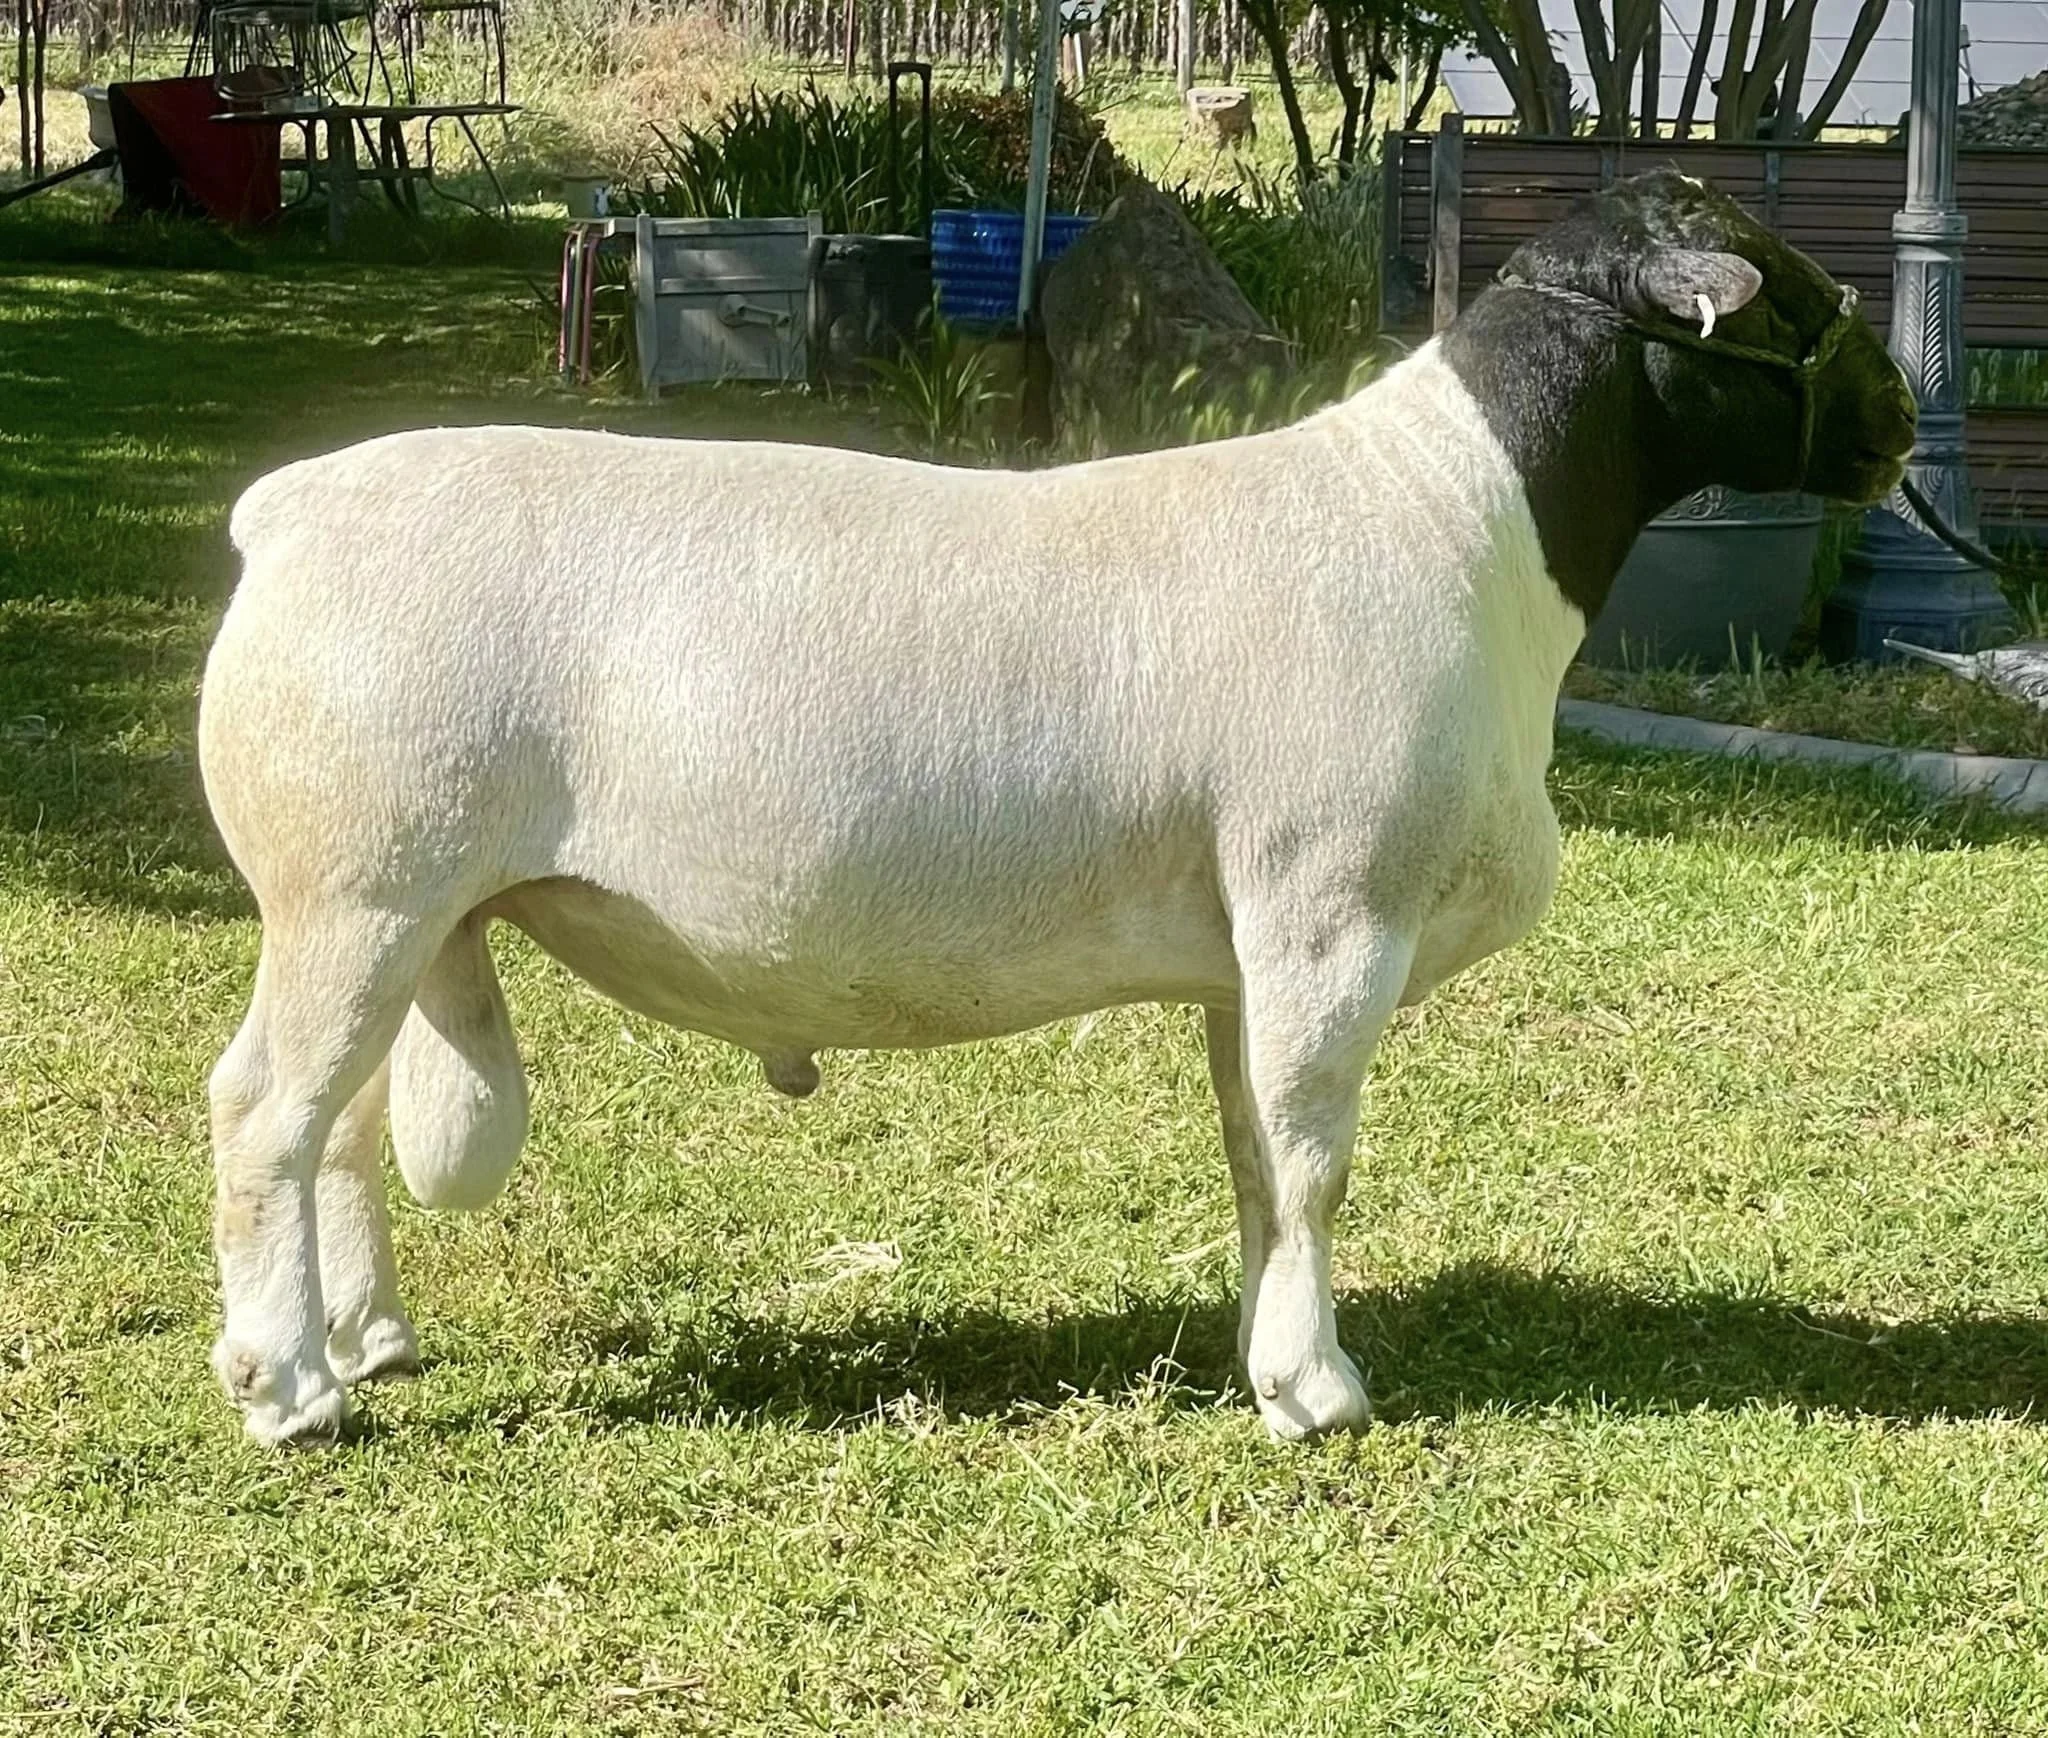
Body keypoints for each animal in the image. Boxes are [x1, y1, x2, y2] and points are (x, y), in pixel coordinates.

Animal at [198, 170, 1917, 1445]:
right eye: (1790, 296)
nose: (1903, 418)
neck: (1460, 520)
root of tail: (289, 509)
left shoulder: (1249, 943)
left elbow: (1253, 1155)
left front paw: (1264, 1350)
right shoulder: (1329, 910)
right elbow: (1313, 1158)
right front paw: (1318, 1390)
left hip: (405, 902)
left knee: (344, 1123)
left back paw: (368, 1337)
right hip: (351, 887)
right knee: (265, 1111)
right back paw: (289, 1390)